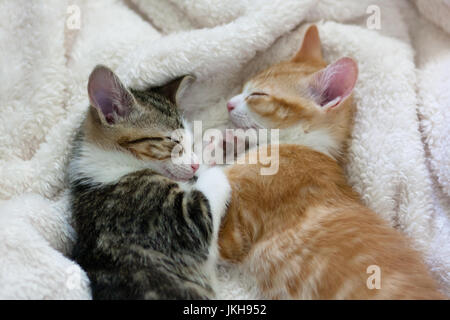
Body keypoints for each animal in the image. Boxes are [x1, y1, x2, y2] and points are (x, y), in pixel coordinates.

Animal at [70, 65, 232, 300]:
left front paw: (212, 146)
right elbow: (211, 189)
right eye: (173, 141)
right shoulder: (175, 222)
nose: (193, 164)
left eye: (190, 141)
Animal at [217, 25, 442, 300]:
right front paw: (230, 142)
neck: (308, 145)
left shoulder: (233, 237)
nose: (229, 103)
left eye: (257, 94)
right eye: (243, 87)